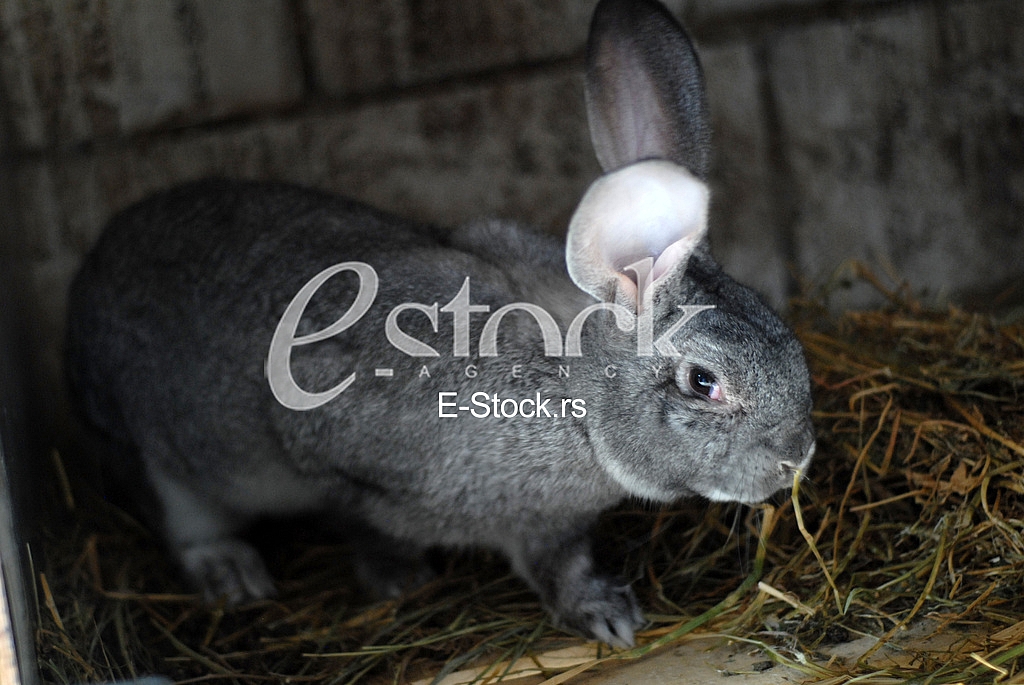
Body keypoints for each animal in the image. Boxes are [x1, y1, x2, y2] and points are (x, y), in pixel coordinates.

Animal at [64, 0, 815, 648]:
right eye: (703, 381)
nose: (798, 455)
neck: (569, 391)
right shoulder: (332, 453)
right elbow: (358, 521)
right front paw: (400, 580)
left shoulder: (548, 525)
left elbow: (560, 567)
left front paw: (607, 617)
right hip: (161, 456)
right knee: (184, 518)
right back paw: (232, 574)